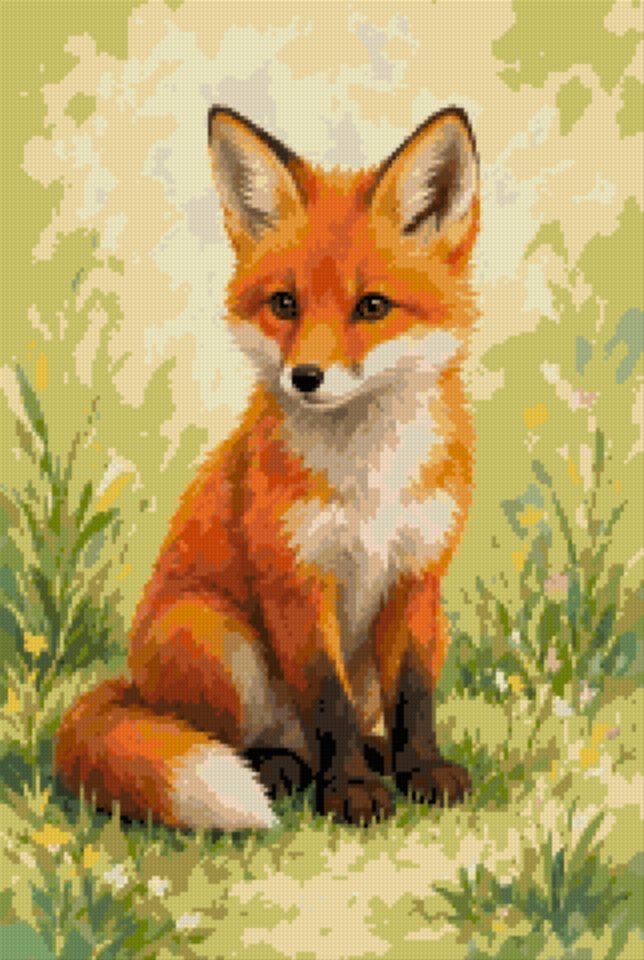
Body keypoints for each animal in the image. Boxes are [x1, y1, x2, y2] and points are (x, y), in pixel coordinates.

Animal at [55, 104, 480, 830]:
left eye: (372, 306)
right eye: (285, 304)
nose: (305, 378)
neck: (370, 480)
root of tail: (135, 687)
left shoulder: (416, 576)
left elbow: (414, 697)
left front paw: (420, 770)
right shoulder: (296, 580)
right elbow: (327, 705)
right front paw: (348, 792)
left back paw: (375, 756)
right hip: (208, 631)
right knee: (252, 739)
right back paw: (282, 770)